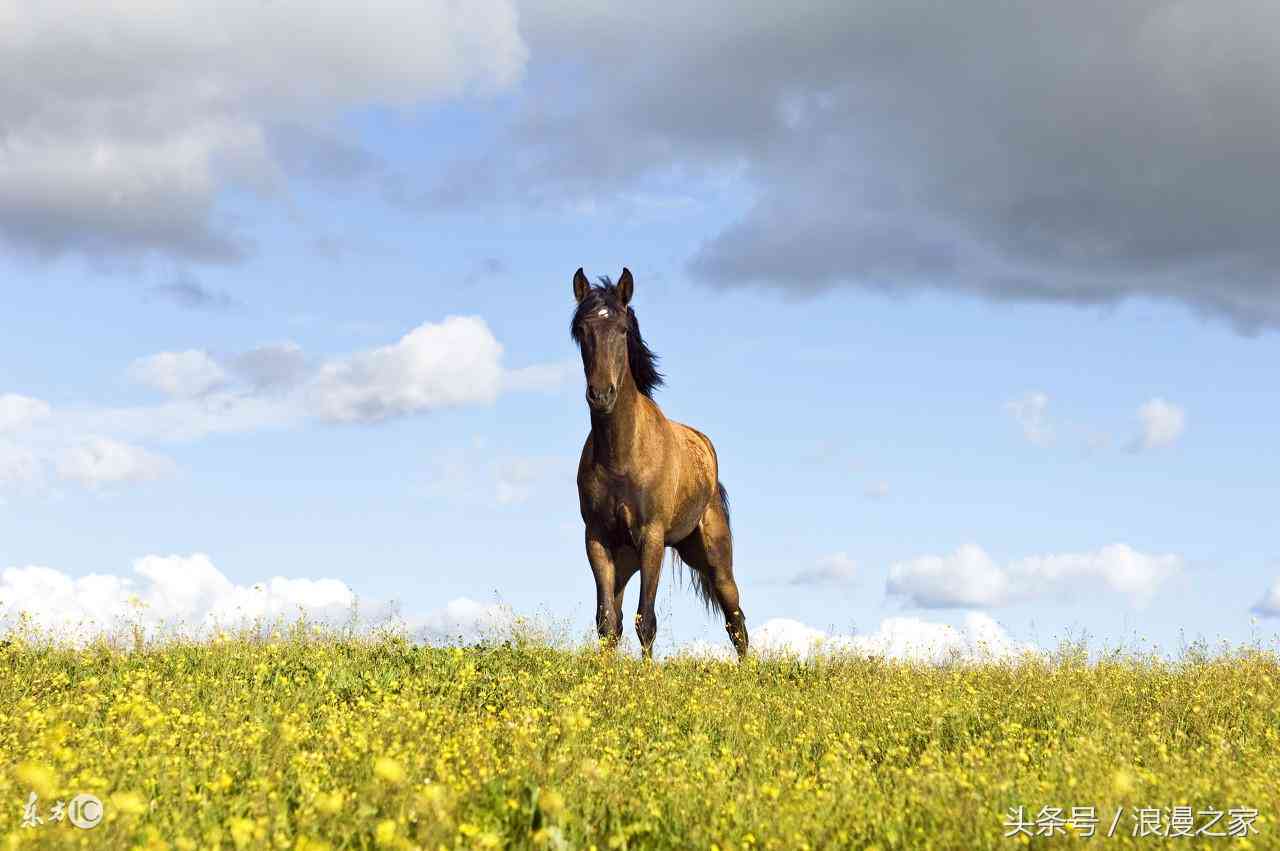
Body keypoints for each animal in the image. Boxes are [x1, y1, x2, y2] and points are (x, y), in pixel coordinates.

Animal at [570, 266, 747, 655]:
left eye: (623, 329)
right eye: (581, 330)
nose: (601, 394)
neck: (621, 458)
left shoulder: (651, 539)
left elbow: (646, 621)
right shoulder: (597, 540)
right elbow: (607, 623)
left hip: (713, 558)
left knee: (736, 620)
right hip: (625, 562)